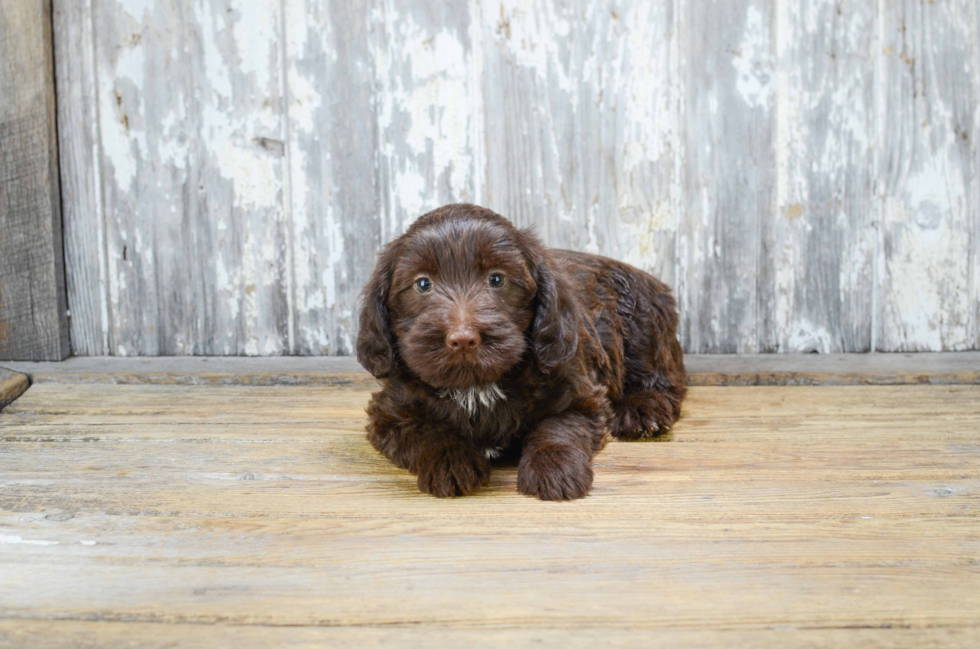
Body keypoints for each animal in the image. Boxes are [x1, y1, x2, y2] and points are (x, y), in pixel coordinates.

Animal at [356, 205, 684, 498]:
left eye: (497, 279)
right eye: (423, 284)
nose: (463, 339)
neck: (475, 387)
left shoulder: (581, 395)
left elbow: (557, 426)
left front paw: (554, 468)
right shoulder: (389, 413)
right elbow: (426, 431)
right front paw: (451, 460)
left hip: (639, 321)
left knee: (660, 376)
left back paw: (643, 411)